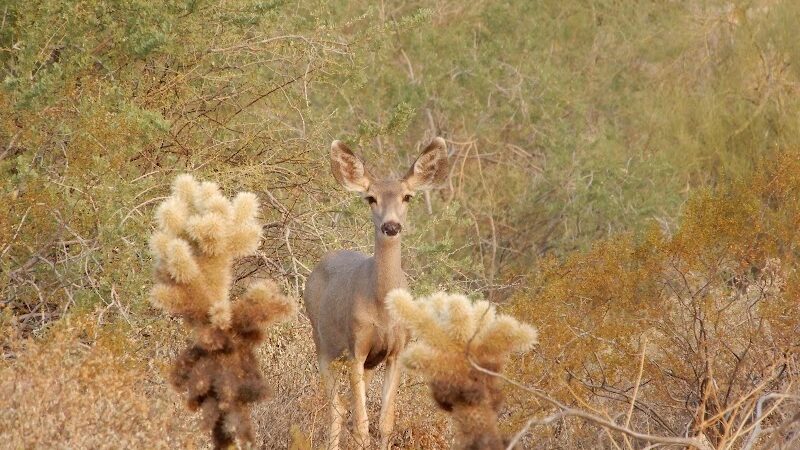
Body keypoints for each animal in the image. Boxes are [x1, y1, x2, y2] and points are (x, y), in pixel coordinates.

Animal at [303, 137, 449, 449]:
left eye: (407, 197)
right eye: (371, 198)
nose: (391, 226)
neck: (382, 307)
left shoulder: (396, 350)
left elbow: (385, 423)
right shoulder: (357, 346)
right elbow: (361, 424)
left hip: (367, 362)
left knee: (343, 407)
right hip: (323, 345)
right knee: (336, 409)